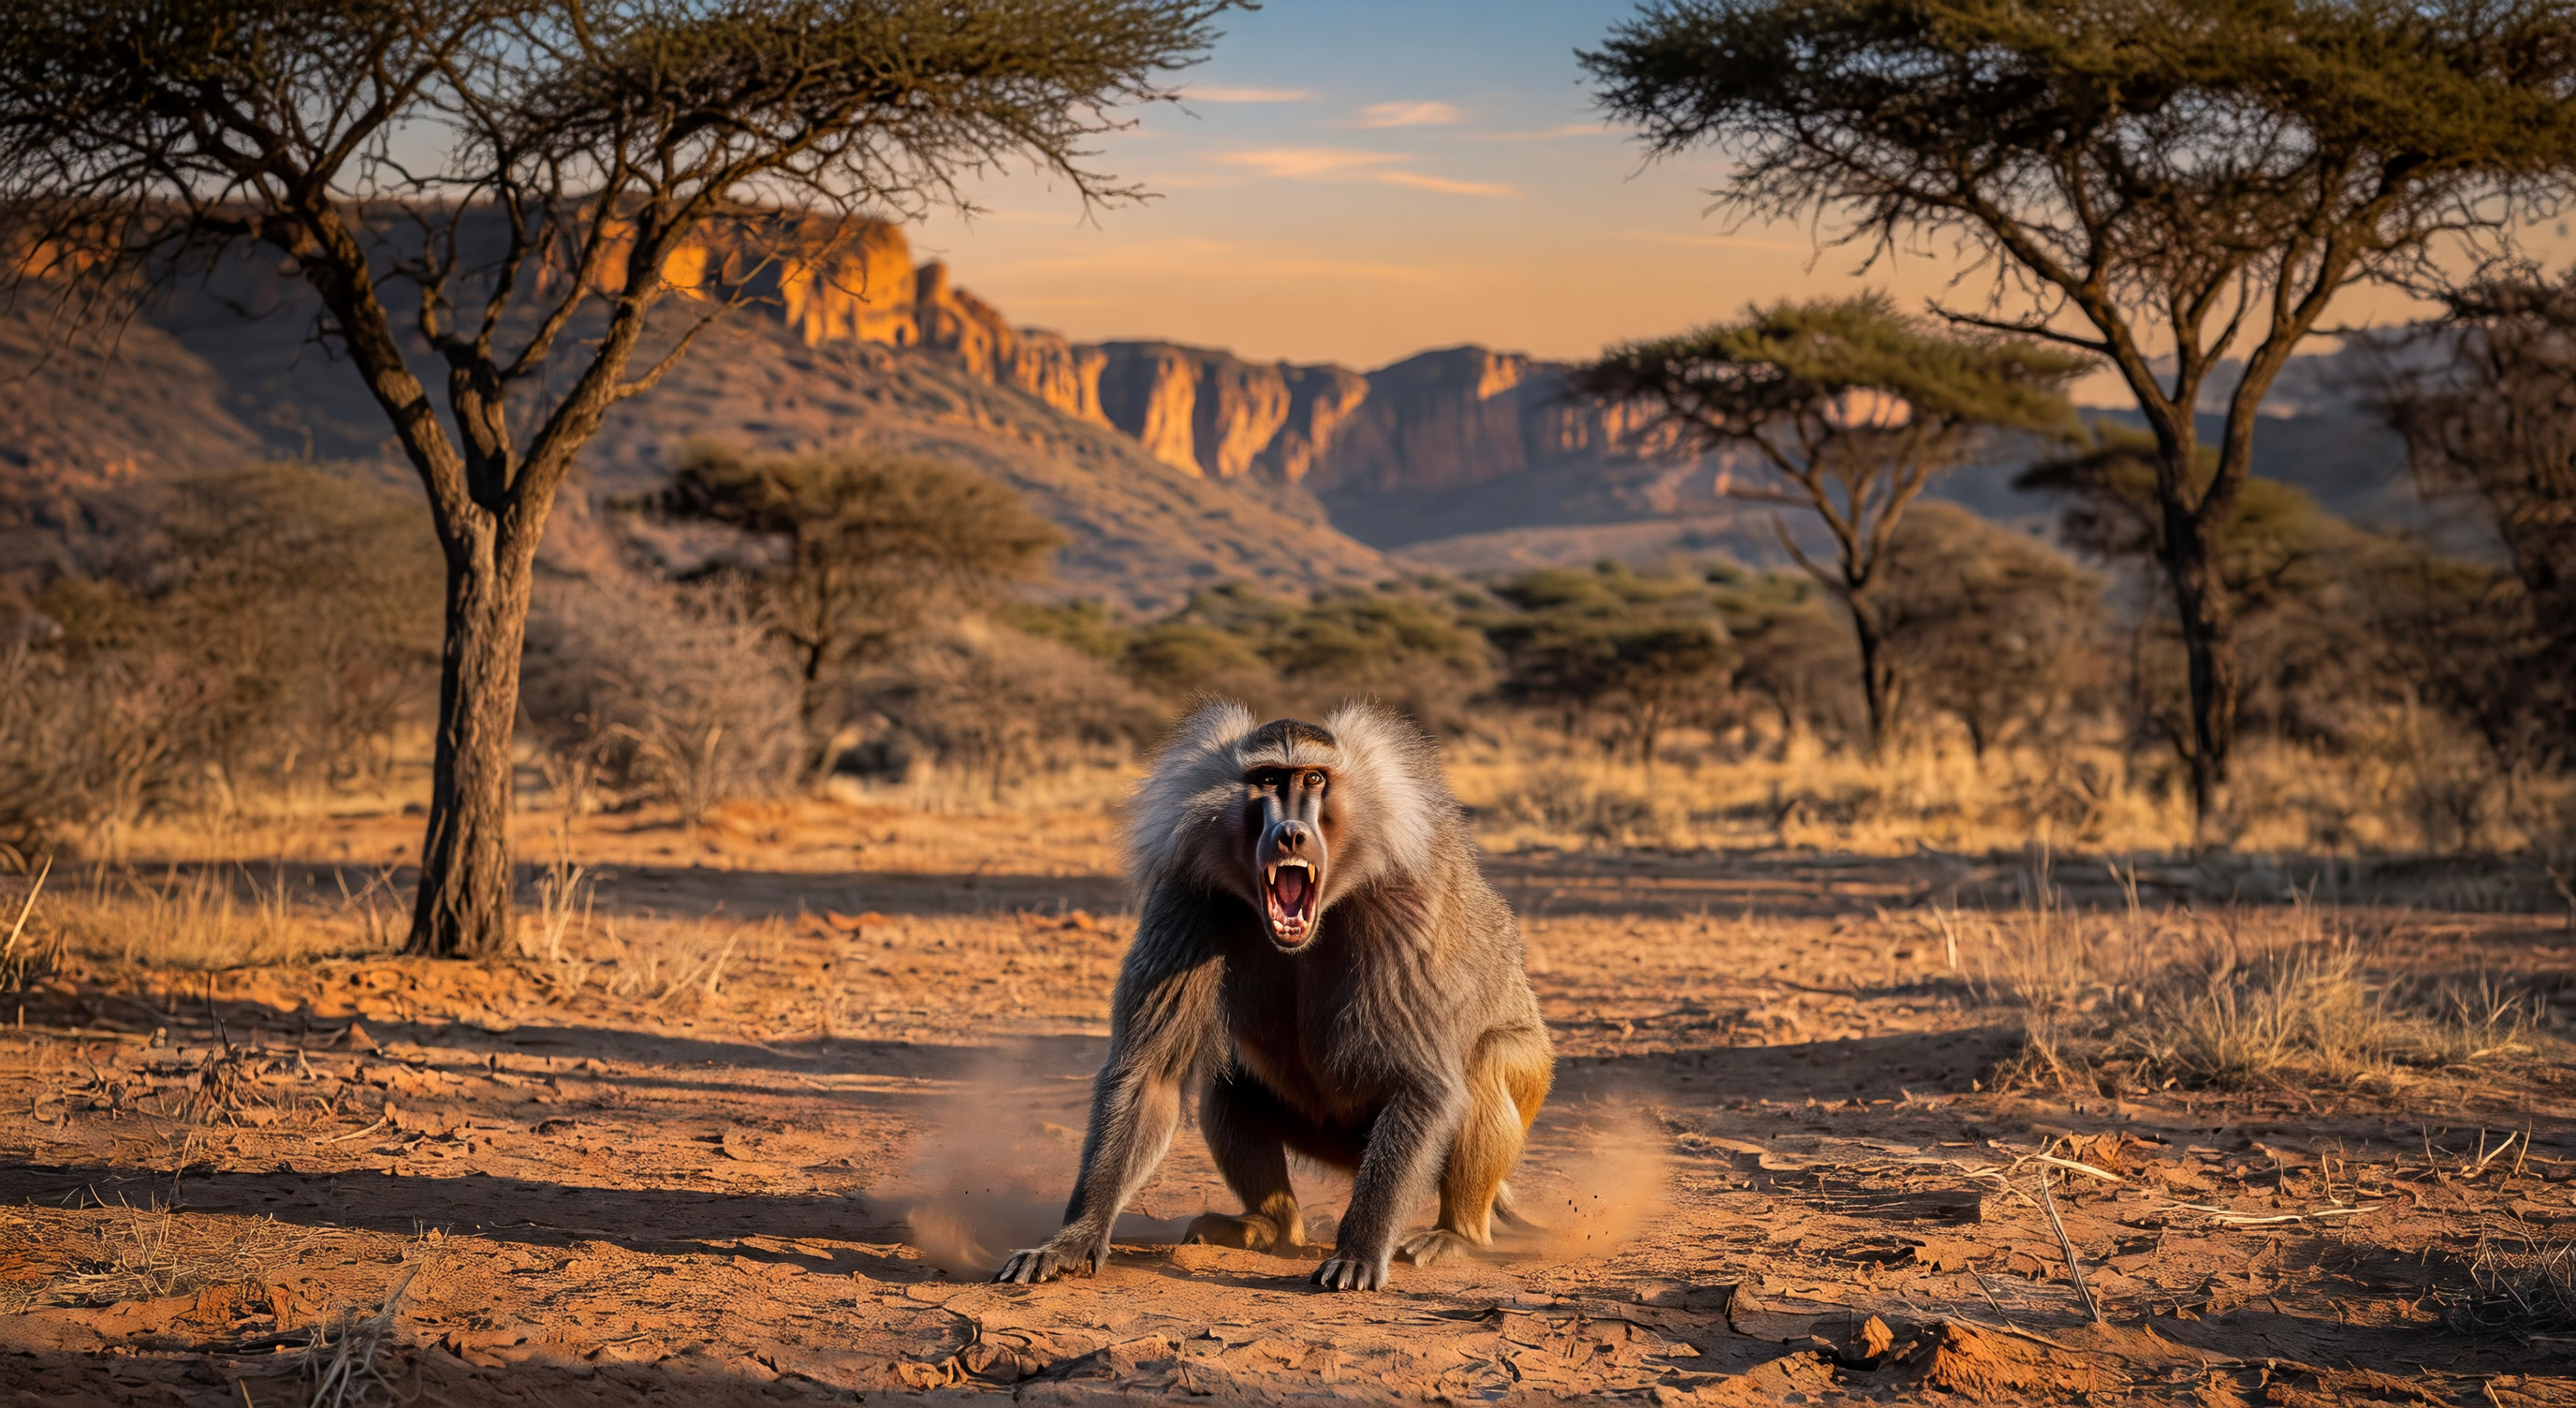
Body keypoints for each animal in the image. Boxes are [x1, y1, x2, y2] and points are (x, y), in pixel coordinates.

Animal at [995, 700, 1554, 1292]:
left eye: (1313, 779)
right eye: (1267, 780)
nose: (1290, 835)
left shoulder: (1402, 912)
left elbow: (1422, 1083)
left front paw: (1360, 1250)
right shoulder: (1189, 899)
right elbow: (1150, 1074)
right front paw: (1072, 1241)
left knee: (1485, 1061)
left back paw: (1455, 1236)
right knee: (1231, 1082)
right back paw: (1268, 1227)